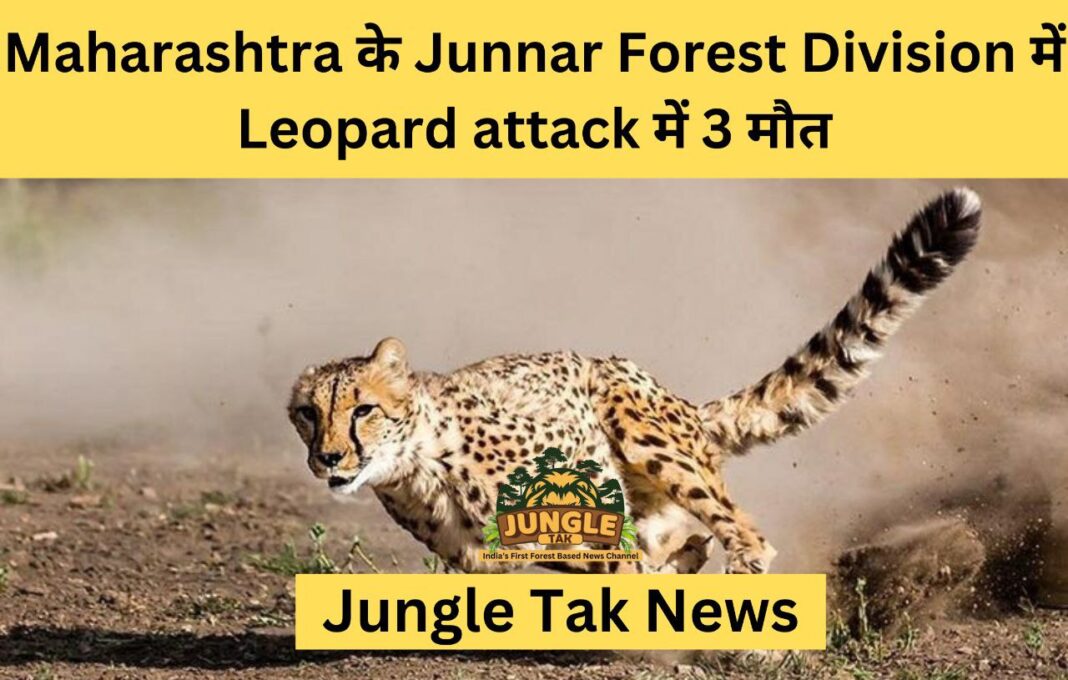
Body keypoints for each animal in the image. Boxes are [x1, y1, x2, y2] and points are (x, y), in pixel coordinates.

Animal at [288, 188, 981, 575]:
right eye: (307, 414)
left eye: (362, 410)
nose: (328, 458)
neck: (417, 466)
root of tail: (684, 403)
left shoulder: (579, 470)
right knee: (686, 540)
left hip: (639, 424)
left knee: (744, 534)